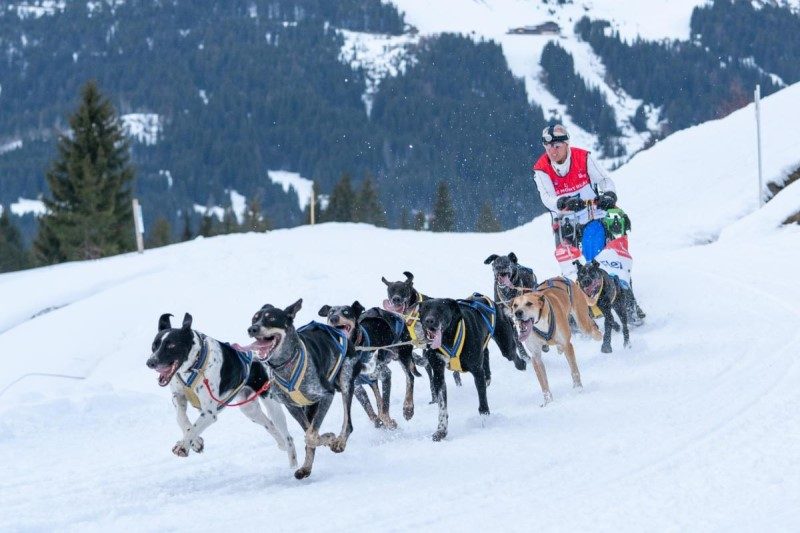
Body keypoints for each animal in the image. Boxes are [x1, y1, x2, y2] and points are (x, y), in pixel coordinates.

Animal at [146, 312, 296, 466]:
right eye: (154, 346)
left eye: (171, 345)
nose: (150, 362)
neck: (194, 365)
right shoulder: (178, 396)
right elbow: (181, 419)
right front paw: (195, 442)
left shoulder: (209, 412)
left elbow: (194, 428)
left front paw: (183, 445)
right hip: (249, 410)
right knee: (270, 425)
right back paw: (281, 443)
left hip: (272, 405)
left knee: (288, 437)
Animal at [245, 300, 360, 478]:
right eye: (254, 319)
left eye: (271, 318)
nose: (252, 329)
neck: (286, 364)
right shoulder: (292, 407)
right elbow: (310, 433)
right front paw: (309, 463)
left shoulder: (326, 395)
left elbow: (311, 436)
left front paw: (331, 439)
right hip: (310, 406)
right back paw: (307, 467)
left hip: (346, 381)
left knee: (348, 423)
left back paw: (340, 441)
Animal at [318, 300, 412, 428]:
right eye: (331, 312)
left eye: (346, 312)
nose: (333, 318)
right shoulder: (356, 387)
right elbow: (369, 410)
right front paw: (378, 421)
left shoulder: (385, 374)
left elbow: (385, 406)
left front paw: (388, 422)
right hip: (373, 379)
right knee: (377, 395)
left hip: (403, 354)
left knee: (410, 378)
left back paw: (408, 408)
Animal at [418, 294, 524, 438]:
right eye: (425, 309)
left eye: (440, 309)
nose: (429, 321)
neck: (449, 338)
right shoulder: (438, 374)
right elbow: (442, 407)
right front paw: (441, 430)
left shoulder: (477, 371)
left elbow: (483, 403)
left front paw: (485, 423)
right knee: (486, 353)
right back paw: (488, 377)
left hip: (506, 346)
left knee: (511, 355)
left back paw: (522, 364)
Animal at [512, 276, 600, 406]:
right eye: (515, 305)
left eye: (529, 303)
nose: (518, 313)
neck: (541, 322)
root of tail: (562, 277)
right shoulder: (535, 356)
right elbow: (543, 382)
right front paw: (548, 401)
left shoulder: (567, 345)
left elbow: (574, 370)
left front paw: (578, 388)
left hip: (583, 323)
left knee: (593, 329)